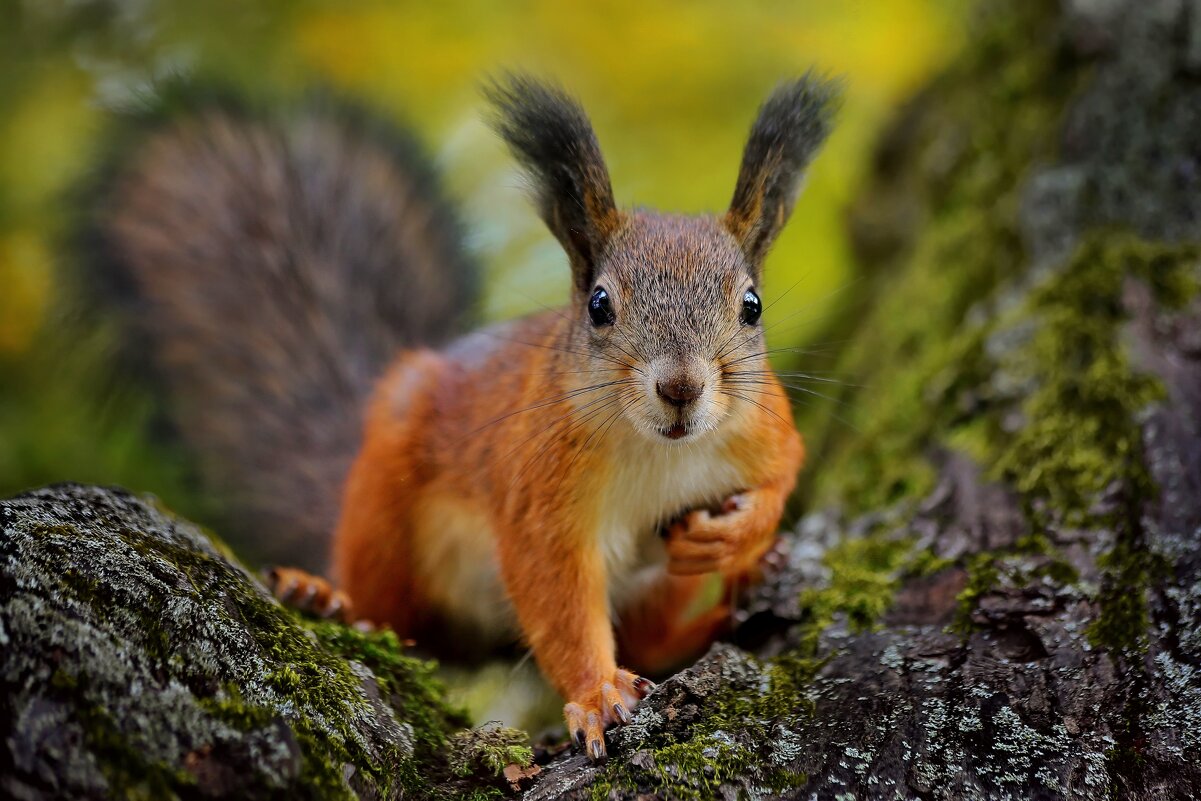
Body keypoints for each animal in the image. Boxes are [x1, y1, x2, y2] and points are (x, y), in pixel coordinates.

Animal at [87, 73, 835, 758]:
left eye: (751, 306)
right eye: (599, 304)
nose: (680, 387)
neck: (663, 449)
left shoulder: (763, 427)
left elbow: (784, 473)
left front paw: (742, 535)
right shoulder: (539, 492)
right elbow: (556, 595)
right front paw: (596, 693)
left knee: (651, 639)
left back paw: (729, 604)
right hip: (384, 507)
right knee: (391, 610)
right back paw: (326, 597)